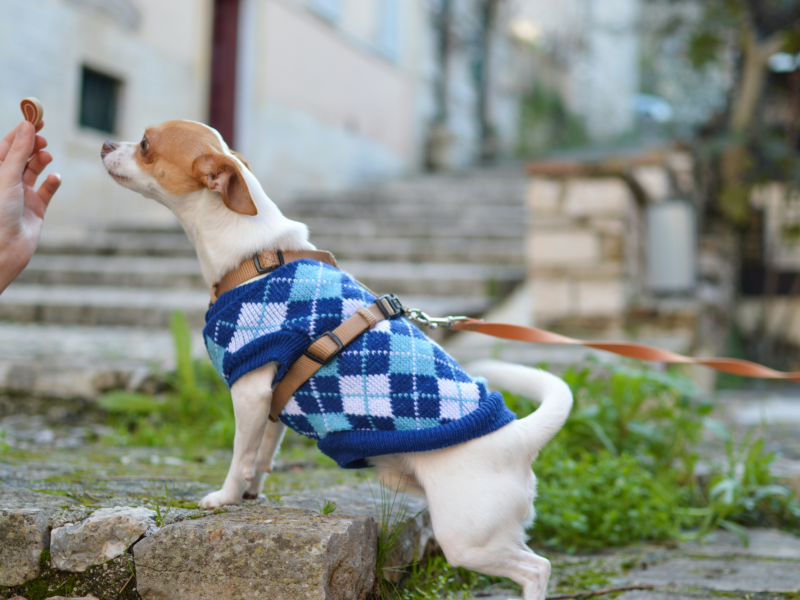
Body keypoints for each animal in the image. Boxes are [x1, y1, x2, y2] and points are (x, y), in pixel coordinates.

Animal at [101, 120, 576, 600]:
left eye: (145, 145)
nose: (105, 143)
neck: (256, 257)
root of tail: (520, 437)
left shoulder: (249, 391)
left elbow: (240, 454)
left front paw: (226, 498)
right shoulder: (272, 401)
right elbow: (262, 454)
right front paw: (252, 493)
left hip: (467, 540)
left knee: (537, 567)